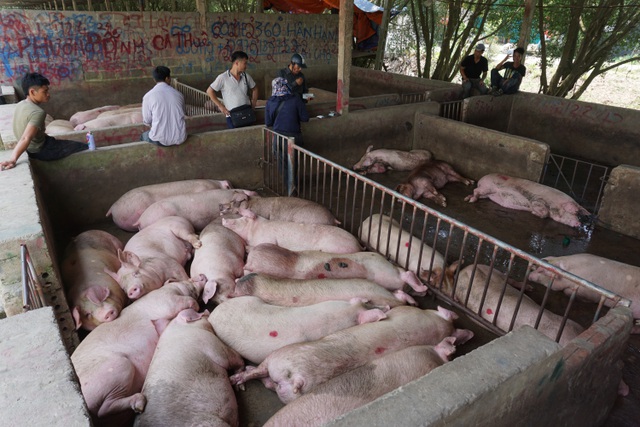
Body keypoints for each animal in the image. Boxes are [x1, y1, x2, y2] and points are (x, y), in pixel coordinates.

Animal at [71, 277, 204, 426]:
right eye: (189, 279)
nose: (201, 276)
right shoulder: (164, 299)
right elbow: (182, 301)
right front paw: (195, 305)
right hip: (117, 367)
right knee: (104, 409)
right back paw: (140, 403)